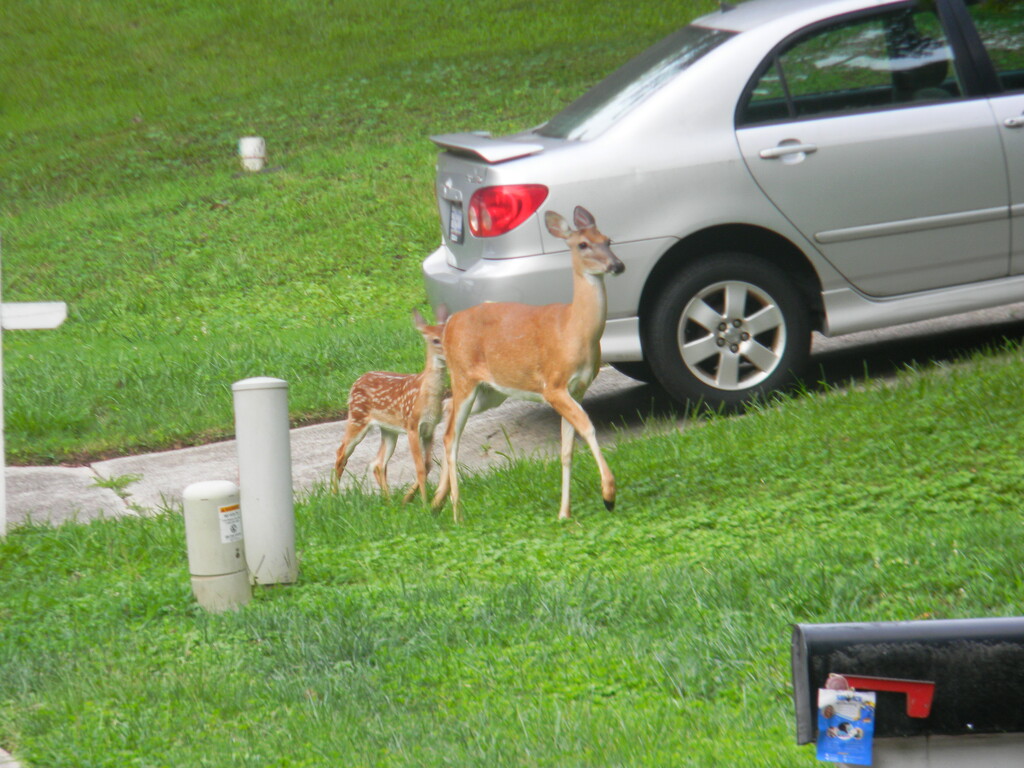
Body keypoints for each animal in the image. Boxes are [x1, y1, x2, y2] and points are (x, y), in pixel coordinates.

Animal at [331, 307, 448, 505]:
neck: (427, 395)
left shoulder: (429, 428)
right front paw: (424, 503)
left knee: (378, 463)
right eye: (435, 340)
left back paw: (389, 501)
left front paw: (409, 498)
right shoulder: (412, 425)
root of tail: (356, 382)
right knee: (341, 453)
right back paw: (335, 497)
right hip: (357, 417)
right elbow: (420, 467)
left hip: (388, 430)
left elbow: (428, 465)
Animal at [428, 205, 618, 524]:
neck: (574, 331)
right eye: (583, 244)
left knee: (448, 412)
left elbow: (567, 449)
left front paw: (564, 512)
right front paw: (608, 494)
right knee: (451, 434)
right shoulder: (554, 385)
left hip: (491, 391)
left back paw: (436, 501)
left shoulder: (578, 389)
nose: (617, 265)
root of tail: (449, 325)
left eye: (608, 240)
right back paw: (456, 512)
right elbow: (588, 428)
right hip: (464, 376)